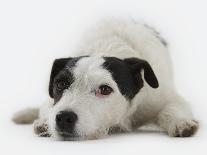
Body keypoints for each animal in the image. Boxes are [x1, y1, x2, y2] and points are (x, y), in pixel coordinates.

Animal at [12, 18, 199, 140]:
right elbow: (47, 107)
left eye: (105, 89)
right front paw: (44, 122)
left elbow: (171, 108)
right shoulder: (51, 101)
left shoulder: (164, 98)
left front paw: (180, 122)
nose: (64, 118)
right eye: (61, 84)